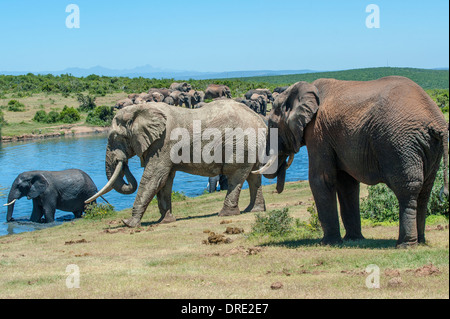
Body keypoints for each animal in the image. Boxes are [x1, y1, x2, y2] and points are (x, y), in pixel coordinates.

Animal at [86, 100, 268, 228]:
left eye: (115, 137)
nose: (123, 162)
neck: (141, 109)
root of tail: (260, 120)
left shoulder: (163, 143)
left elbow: (153, 178)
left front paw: (129, 224)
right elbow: (164, 181)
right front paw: (165, 221)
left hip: (241, 144)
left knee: (235, 175)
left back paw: (225, 214)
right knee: (253, 176)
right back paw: (253, 210)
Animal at [255, 76, 448, 249]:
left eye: (271, 124)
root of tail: (437, 122)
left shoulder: (318, 132)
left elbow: (321, 179)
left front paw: (328, 243)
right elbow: (346, 183)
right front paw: (353, 240)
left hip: (400, 143)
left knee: (407, 188)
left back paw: (405, 245)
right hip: (428, 146)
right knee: (425, 190)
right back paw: (420, 242)